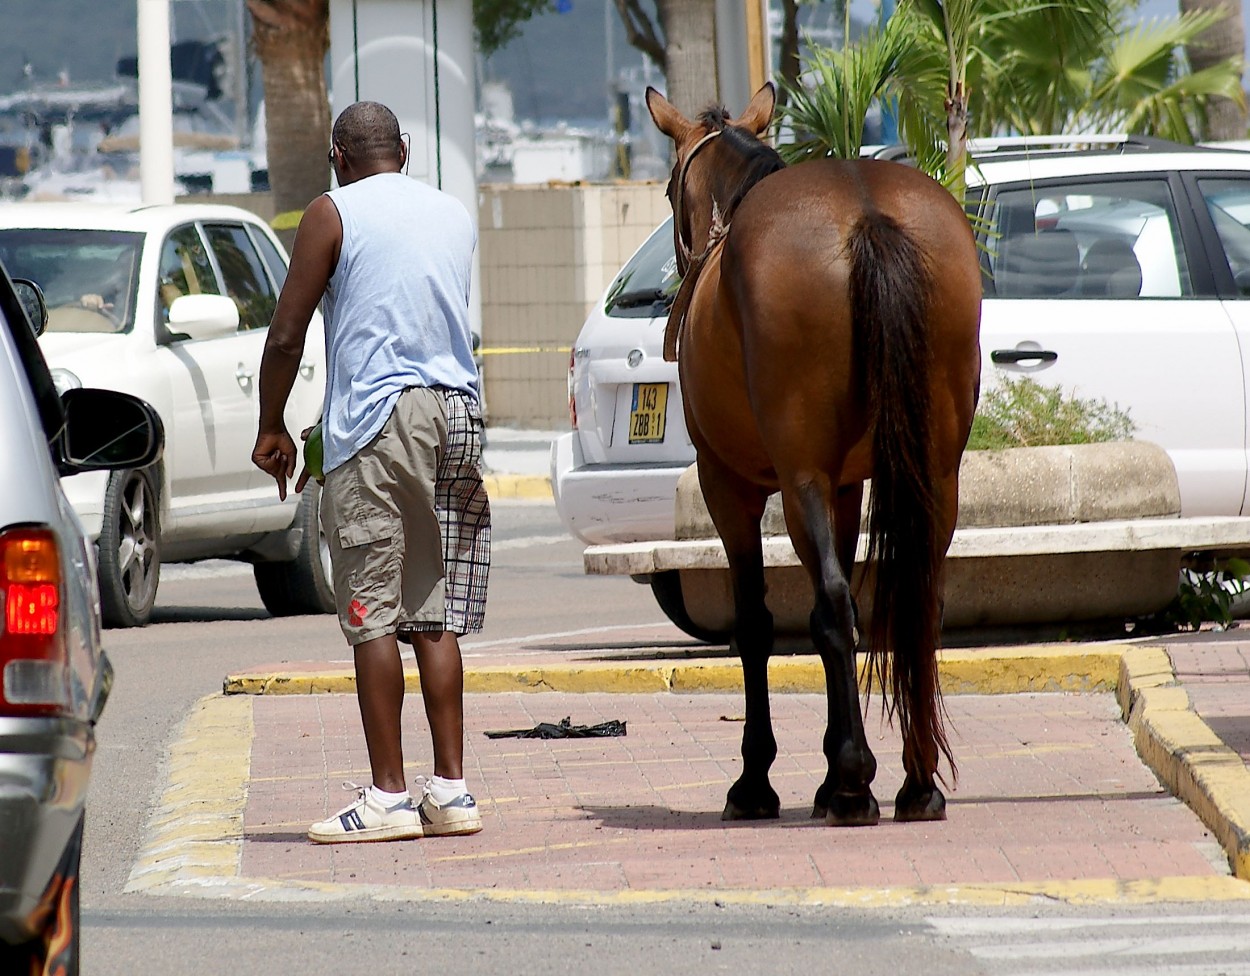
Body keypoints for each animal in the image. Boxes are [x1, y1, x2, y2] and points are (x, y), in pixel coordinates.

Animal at [650, 85, 980, 824]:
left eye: (667, 186)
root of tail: (867, 215)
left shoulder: (730, 488)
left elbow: (756, 624)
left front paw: (760, 780)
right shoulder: (846, 486)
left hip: (797, 480)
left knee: (830, 604)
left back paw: (854, 783)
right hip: (935, 473)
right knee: (919, 602)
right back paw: (917, 782)